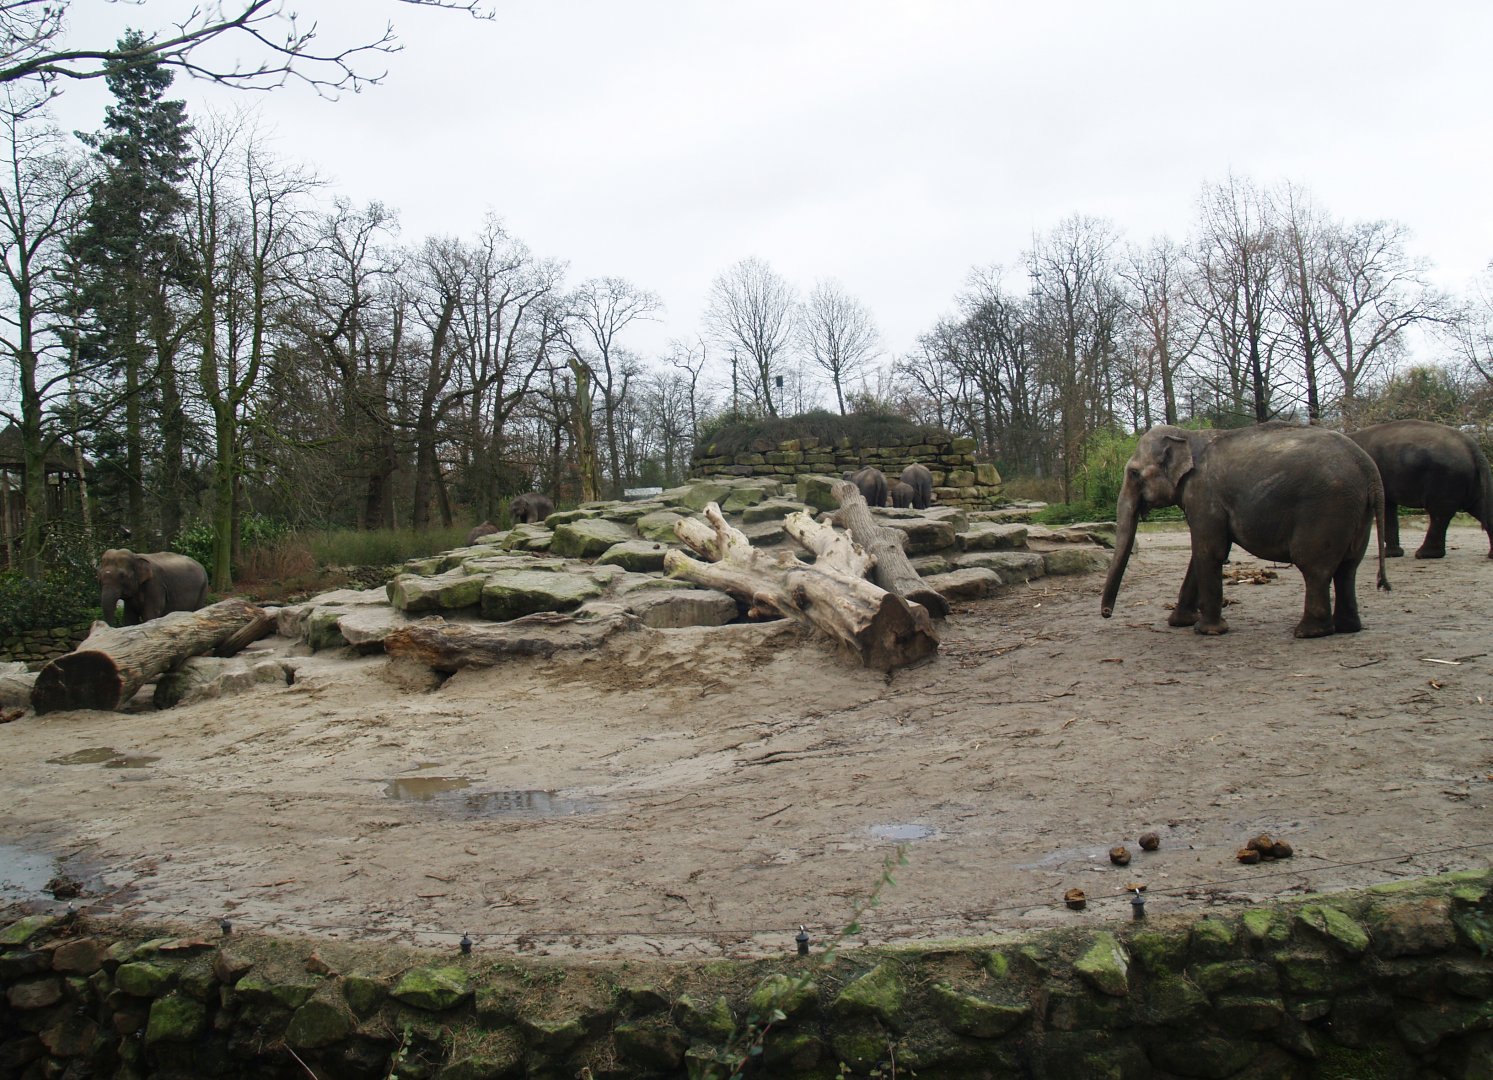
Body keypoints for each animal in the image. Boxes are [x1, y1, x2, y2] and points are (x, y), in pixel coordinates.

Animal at [1099, 424, 1389, 638]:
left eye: (1134, 473)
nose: (1106, 613)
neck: (1188, 436)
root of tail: (1370, 471)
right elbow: (1200, 553)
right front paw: (1179, 623)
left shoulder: (1204, 494)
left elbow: (1209, 551)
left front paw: (1207, 631)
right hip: (1357, 513)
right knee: (1348, 567)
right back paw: (1347, 628)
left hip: (1326, 507)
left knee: (1314, 567)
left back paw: (1308, 632)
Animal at [1347, 419, 1493, 559]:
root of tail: (1472, 448)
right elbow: (1387, 506)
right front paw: (1392, 554)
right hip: (1470, 481)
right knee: (1480, 508)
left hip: (1446, 478)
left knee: (1439, 513)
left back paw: (1424, 555)